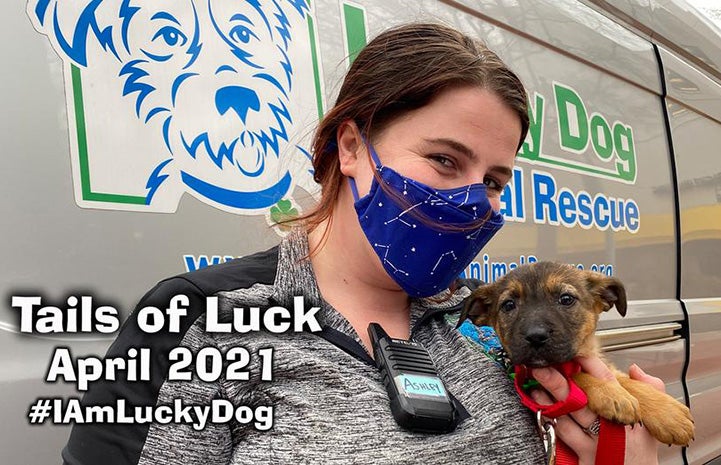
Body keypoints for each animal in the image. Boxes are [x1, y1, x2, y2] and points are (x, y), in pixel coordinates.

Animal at [458, 260, 696, 446]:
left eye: (566, 299)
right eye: (508, 305)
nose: (536, 336)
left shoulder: (601, 363)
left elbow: (626, 380)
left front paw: (668, 414)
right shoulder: (534, 379)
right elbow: (575, 375)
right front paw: (612, 395)